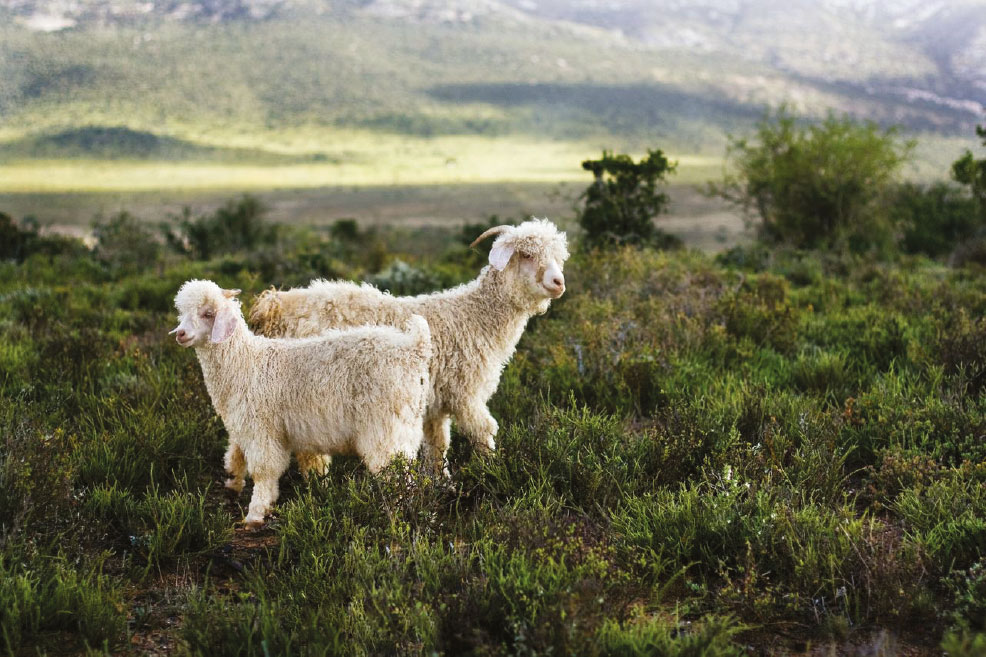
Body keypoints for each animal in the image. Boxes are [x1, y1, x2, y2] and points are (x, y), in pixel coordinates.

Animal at [170, 280, 430, 524]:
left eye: (208, 313)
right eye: (182, 312)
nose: (180, 334)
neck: (247, 363)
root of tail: (413, 350)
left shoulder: (262, 430)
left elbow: (264, 472)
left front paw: (254, 515)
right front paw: (265, 505)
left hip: (386, 430)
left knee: (395, 475)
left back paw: (395, 515)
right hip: (406, 429)